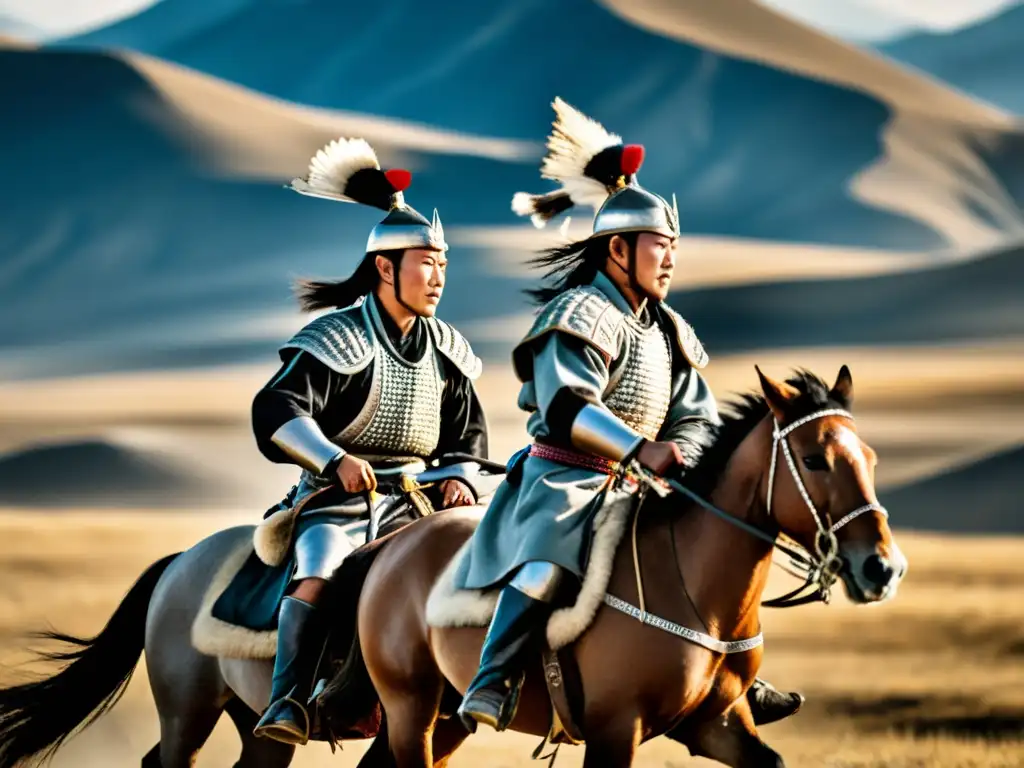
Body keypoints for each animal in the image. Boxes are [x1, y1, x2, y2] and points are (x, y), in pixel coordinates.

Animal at [323, 364, 909, 765]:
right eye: (813, 460)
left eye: (871, 458)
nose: (882, 568)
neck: (695, 589)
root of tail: (392, 546)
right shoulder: (615, 731)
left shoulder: (718, 725)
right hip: (411, 710)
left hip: (445, 717)